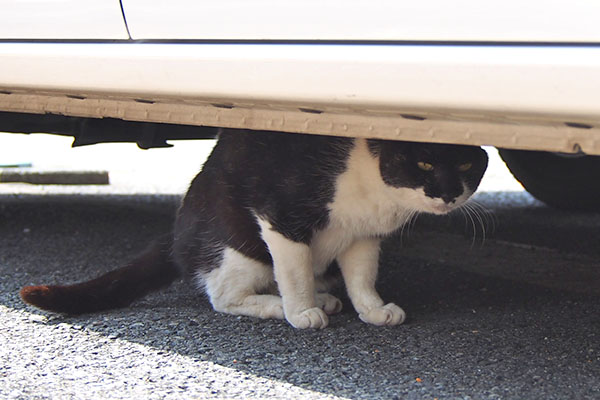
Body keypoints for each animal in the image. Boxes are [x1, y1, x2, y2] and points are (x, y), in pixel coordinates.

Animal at [19, 130, 488, 330]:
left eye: (467, 163)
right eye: (424, 162)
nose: (449, 193)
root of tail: (174, 238)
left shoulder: (362, 236)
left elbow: (362, 278)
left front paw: (372, 310)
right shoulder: (280, 215)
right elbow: (294, 271)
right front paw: (300, 313)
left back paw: (325, 297)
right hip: (236, 245)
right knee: (224, 296)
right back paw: (284, 306)